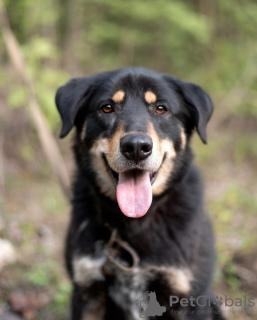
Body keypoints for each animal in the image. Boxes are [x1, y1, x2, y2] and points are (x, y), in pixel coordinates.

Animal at [55, 66, 223, 318]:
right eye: (107, 107)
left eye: (161, 108)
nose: (136, 147)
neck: (133, 224)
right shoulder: (87, 291)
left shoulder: (189, 300)